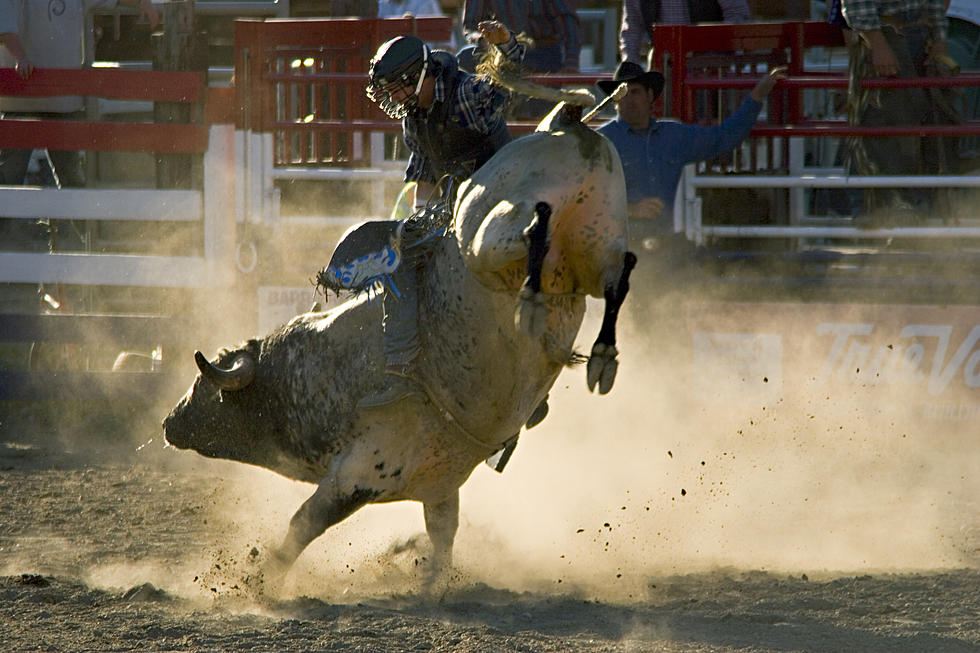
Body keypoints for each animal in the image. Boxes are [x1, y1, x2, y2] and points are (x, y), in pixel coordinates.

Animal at [161, 104, 636, 584]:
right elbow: (442, 536)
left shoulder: (355, 474)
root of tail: (564, 121)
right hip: (596, 240)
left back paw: (536, 300)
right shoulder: (440, 485)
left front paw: (263, 583)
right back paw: (600, 357)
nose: (169, 422)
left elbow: (304, 524)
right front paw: (433, 581)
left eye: (206, 384)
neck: (324, 370)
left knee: (533, 232)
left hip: (490, 236)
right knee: (620, 273)